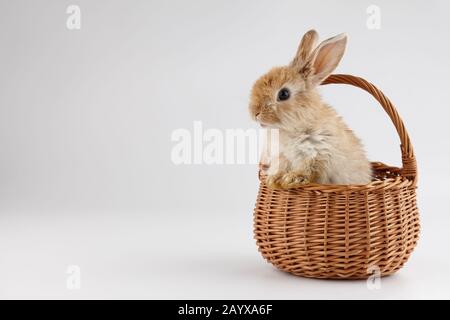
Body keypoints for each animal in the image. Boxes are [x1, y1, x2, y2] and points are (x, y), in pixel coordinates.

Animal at [248, 28, 370, 189]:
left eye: (284, 94)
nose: (254, 113)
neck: (292, 128)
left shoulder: (317, 154)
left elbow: (308, 171)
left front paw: (291, 179)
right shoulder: (282, 156)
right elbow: (281, 167)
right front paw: (274, 179)